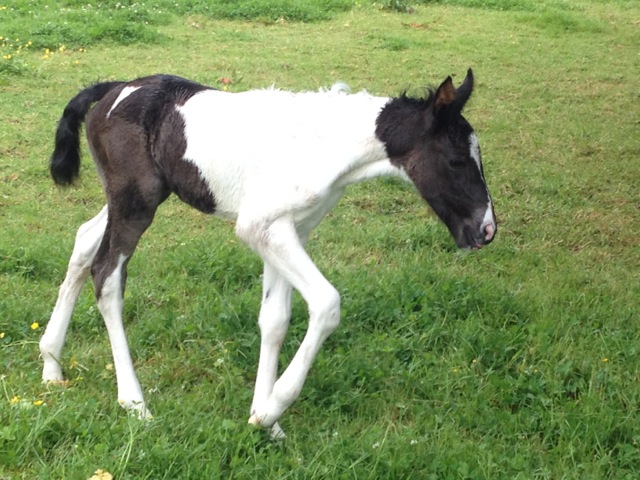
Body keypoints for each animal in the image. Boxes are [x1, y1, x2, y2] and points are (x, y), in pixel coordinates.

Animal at [40, 69, 498, 436]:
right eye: (457, 161)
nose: (487, 229)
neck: (323, 146)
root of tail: (114, 87)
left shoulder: (288, 232)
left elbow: (274, 320)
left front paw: (264, 420)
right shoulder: (261, 227)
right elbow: (326, 303)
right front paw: (274, 406)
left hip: (130, 198)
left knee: (83, 240)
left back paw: (51, 364)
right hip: (136, 201)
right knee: (106, 275)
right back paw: (134, 402)